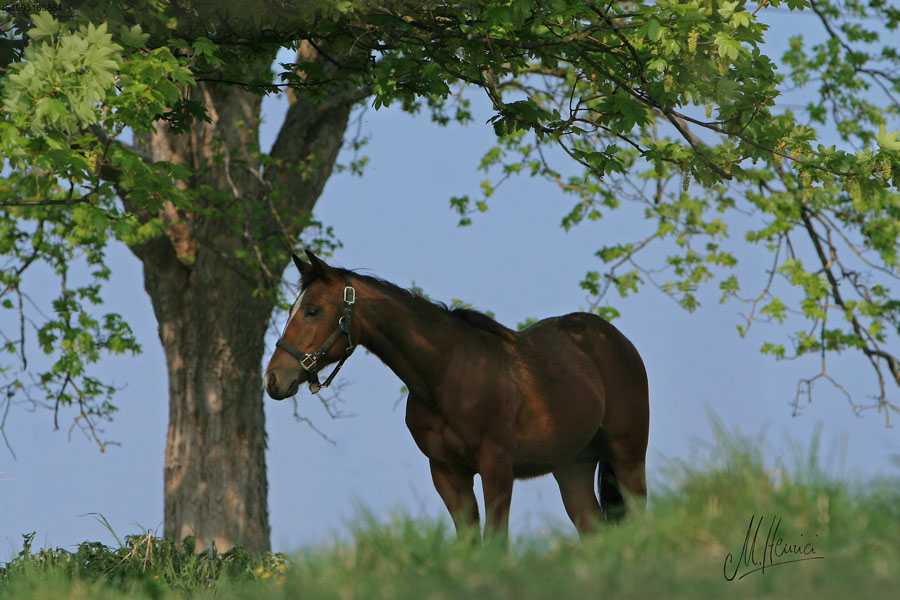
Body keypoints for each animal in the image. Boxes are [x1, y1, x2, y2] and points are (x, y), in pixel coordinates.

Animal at [264, 248, 652, 540]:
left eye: (312, 310)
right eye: (292, 309)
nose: (273, 379)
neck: (447, 374)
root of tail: (613, 339)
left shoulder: (497, 468)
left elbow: (495, 542)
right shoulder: (447, 472)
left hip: (627, 456)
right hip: (573, 466)